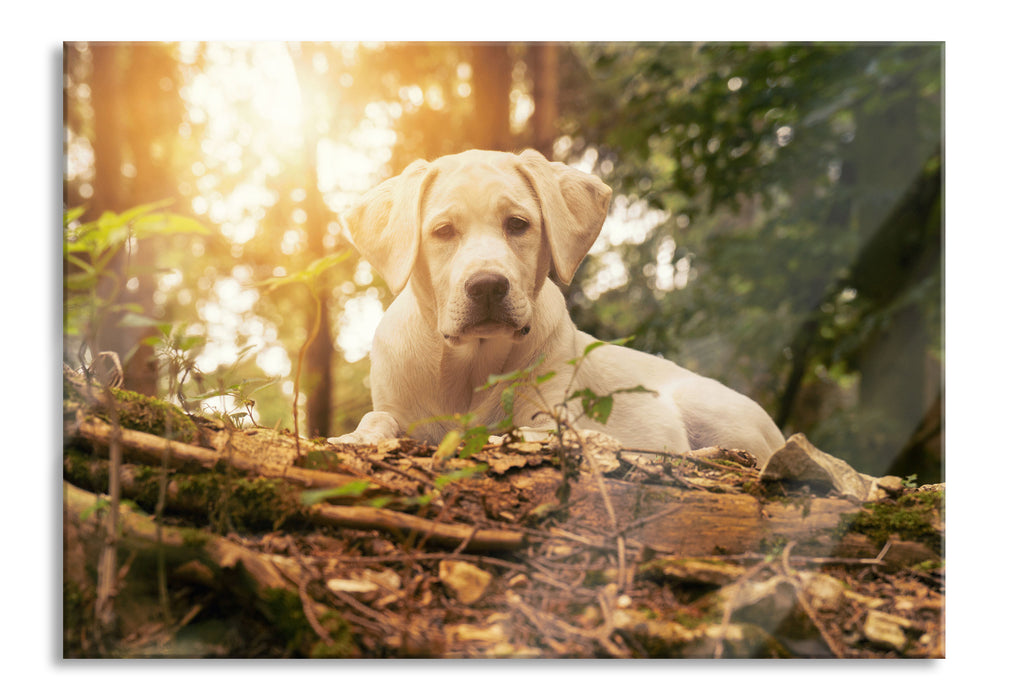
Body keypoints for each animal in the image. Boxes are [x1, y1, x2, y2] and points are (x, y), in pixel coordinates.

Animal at [334, 148, 782, 465]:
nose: (487, 286)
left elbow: (526, 433)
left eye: (518, 224)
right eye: (443, 231)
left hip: (710, 407)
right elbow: (377, 419)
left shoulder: (550, 416)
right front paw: (354, 436)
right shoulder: (397, 406)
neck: (471, 366)